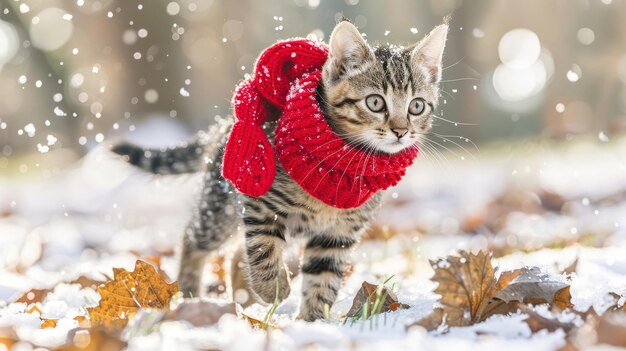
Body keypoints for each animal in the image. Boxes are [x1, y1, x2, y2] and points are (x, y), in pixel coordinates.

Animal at [111, 19, 444, 322]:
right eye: (375, 102)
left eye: (416, 106)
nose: (401, 131)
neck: (344, 164)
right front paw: (273, 289)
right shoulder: (261, 204)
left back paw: (245, 306)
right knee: (195, 239)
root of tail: (221, 129)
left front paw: (311, 322)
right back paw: (191, 295)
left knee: (235, 254)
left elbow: (323, 278)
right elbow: (262, 250)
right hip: (221, 208)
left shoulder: (339, 233)